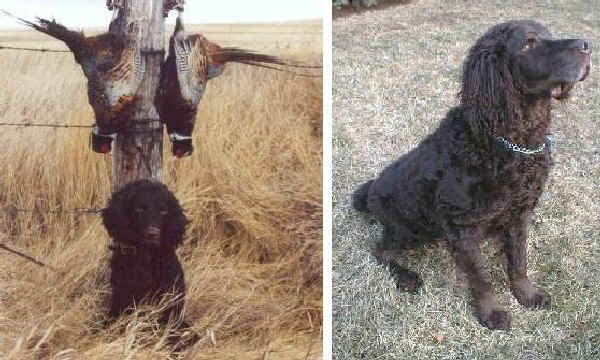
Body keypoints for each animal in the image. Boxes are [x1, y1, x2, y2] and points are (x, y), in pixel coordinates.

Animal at [352, 19, 592, 330]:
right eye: (528, 43)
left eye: (549, 35)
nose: (587, 45)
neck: (507, 141)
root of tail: (369, 192)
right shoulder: (462, 227)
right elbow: (480, 277)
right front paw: (491, 312)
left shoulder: (519, 214)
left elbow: (519, 261)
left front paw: (526, 294)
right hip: (409, 229)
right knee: (380, 251)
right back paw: (407, 277)